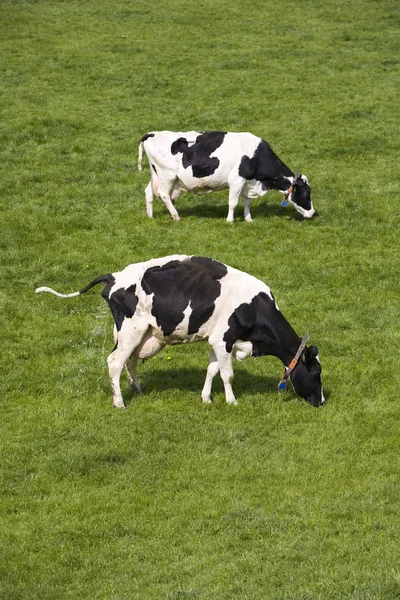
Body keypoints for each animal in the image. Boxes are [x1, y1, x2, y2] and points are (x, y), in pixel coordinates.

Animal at [36, 253, 324, 408]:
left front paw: (206, 399)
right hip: (131, 330)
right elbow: (228, 374)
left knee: (130, 361)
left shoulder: (215, 340)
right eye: (316, 373)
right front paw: (232, 402)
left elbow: (212, 370)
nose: (321, 401)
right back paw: (119, 402)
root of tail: (115, 276)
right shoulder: (223, 339)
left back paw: (137, 389)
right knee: (114, 362)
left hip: (141, 334)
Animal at [138, 131, 316, 223]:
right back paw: (176, 216)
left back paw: (150, 216)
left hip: (156, 175)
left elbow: (247, 201)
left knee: (148, 192)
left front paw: (248, 218)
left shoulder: (248, 182)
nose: (313, 213)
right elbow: (233, 202)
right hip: (167, 175)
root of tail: (151, 134)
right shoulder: (237, 180)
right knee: (163, 194)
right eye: (305, 193)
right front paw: (230, 220)